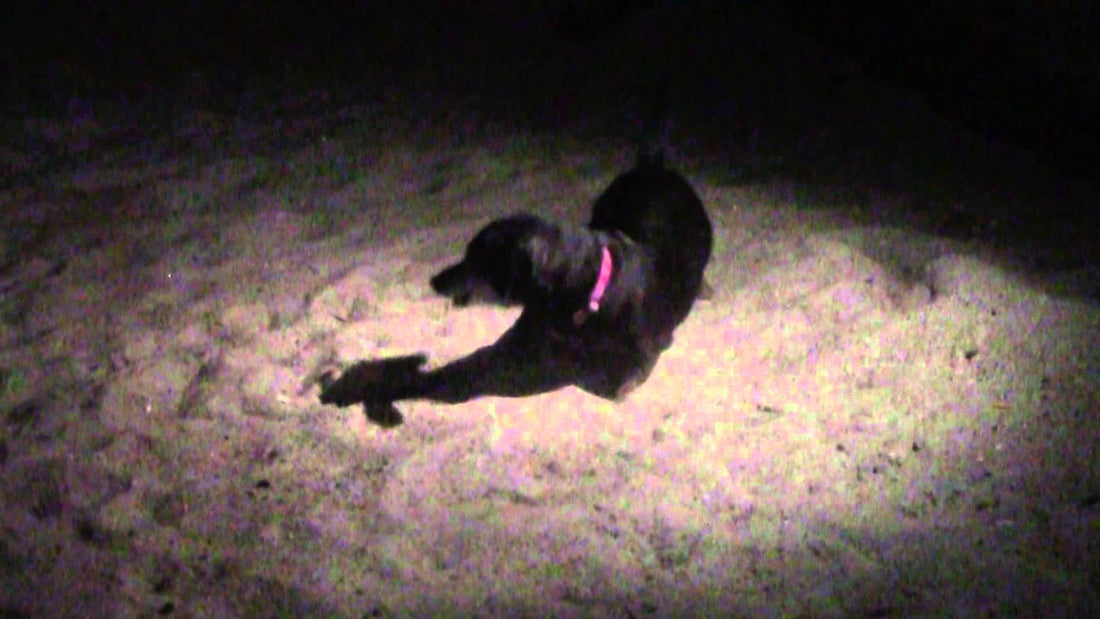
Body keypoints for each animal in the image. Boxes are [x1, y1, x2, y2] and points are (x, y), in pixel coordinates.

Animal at [319, 147, 712, 424]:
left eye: (476, 259)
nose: (434, 279)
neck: (580, 296)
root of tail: (654, 166)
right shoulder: (515, 345)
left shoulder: (646, 350)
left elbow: (615, 383)